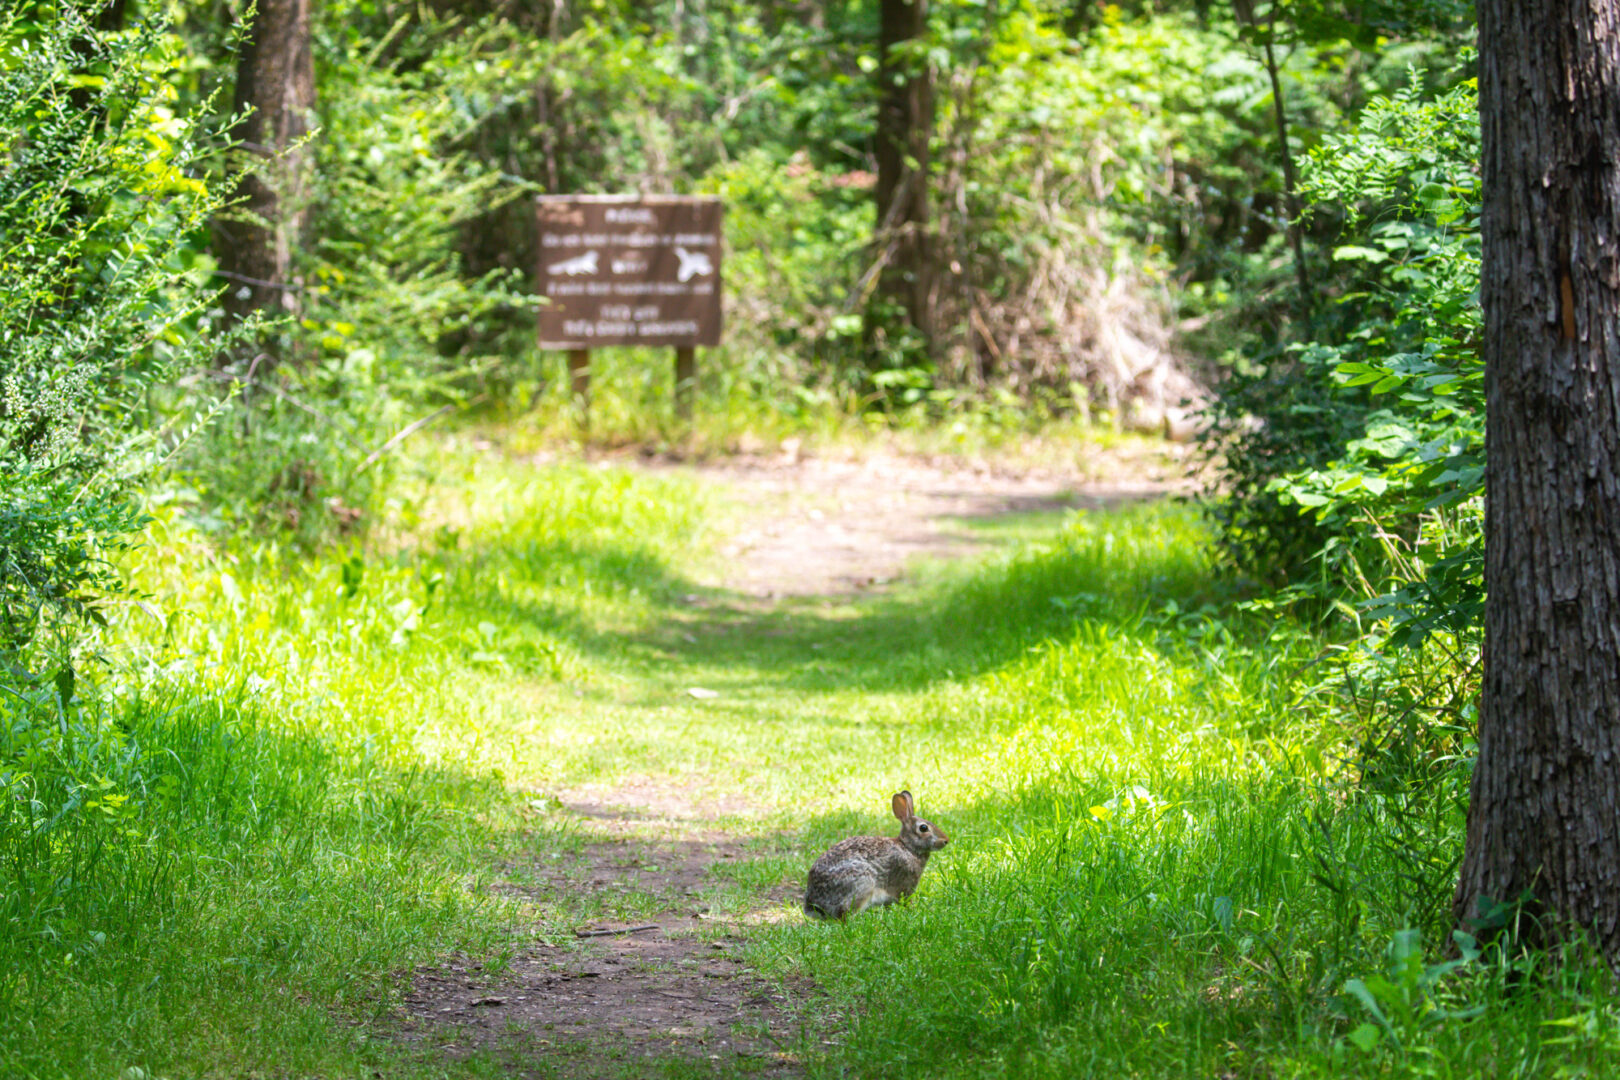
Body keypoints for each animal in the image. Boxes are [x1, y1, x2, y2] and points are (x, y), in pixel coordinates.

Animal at [803, 790, 949, 919]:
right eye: (923, 828)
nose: (946, 840)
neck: (908, 847)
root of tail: (814, 906)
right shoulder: (905, 886)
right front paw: (913, 910)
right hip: (862, 884)